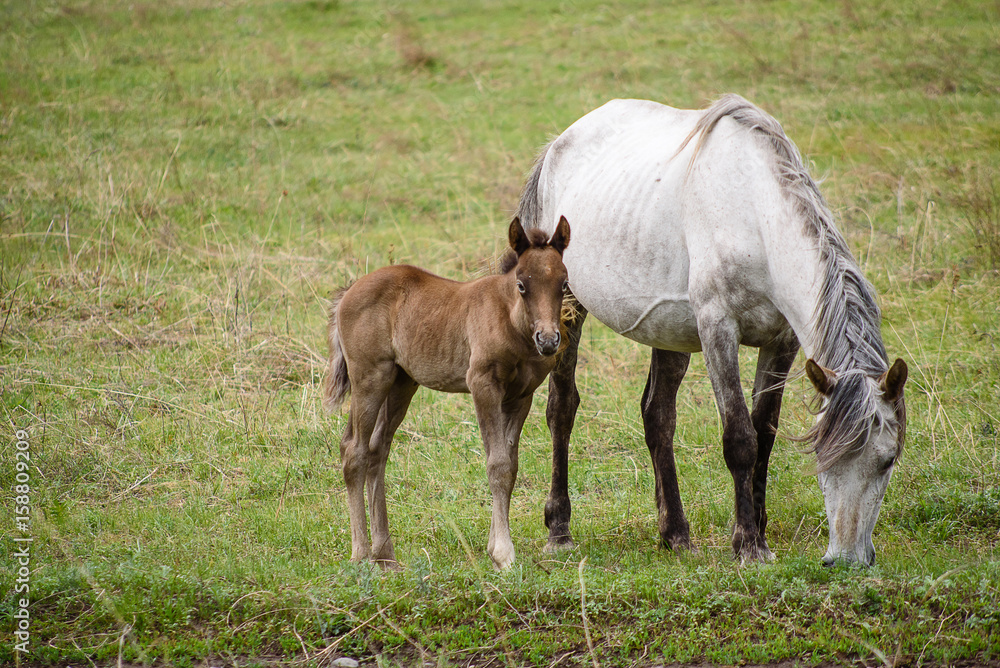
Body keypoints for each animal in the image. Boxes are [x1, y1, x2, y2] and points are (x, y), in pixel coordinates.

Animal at [324, 216, 571, 570]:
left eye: (563, 284)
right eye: (522, 285)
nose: (548, 340)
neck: (510, 320)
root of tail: (347, 292)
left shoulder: (521, 396)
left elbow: (509, 465)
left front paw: (495, 547)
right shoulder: (482, 384)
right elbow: (497, 464)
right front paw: (504, 554)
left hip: (401, 382)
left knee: (376, 450)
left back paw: (384, 553)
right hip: (369, 377)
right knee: (354, 450)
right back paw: (361, 555)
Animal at [515, 95, 907, 566]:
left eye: (888, 460)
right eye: (824, 457)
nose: (848, 558)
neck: (755, 216)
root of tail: (559, 143)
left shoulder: (782, 342)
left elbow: (764, 433)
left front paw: (757, 529)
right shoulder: (717, 328)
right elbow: (739, 437)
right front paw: (749, 545)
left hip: (667, 331)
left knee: (657, 416)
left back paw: (675, 534)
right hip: (567, 309)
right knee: (562, 409)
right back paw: (559, 530)